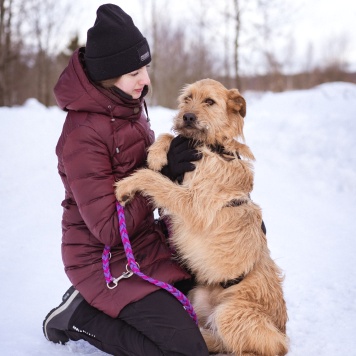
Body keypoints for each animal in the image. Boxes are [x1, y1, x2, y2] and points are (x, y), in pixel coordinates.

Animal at [115, 79, 288, 354]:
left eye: (209, 102)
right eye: (187, 99)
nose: (187, 116)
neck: (210, 146)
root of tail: (282, 333)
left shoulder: (193, 204)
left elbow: (154, 180)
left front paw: (128, 184)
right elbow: (171, 139)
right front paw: (157, 154)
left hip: (230, 313)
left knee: (246, 348)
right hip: (198, 296)